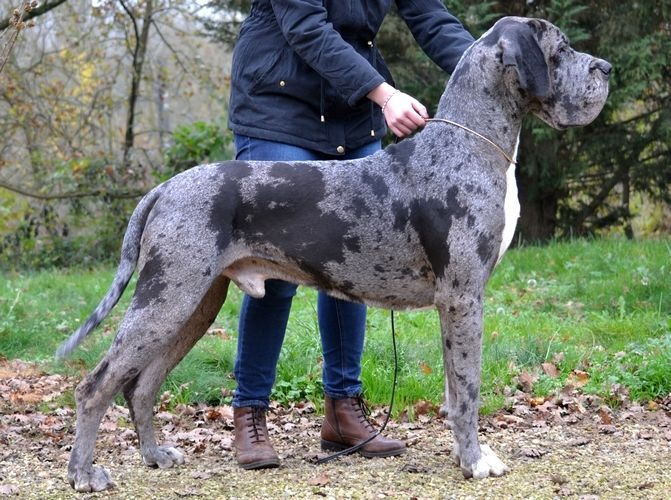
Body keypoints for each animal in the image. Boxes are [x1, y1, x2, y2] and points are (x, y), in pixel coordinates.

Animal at [59, 16, 608, 492]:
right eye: (561, 50)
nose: (605, 68)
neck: (469, 142)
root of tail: (164, 188)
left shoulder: (455, 303)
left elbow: (455, 389)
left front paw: (462, 454)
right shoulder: (463, 296)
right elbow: (468, 389)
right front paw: (474, 461)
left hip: (194, 304)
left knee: (141, 386)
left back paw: (154, 455)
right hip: (167, 297)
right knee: (96, 385)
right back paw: (85, 474)